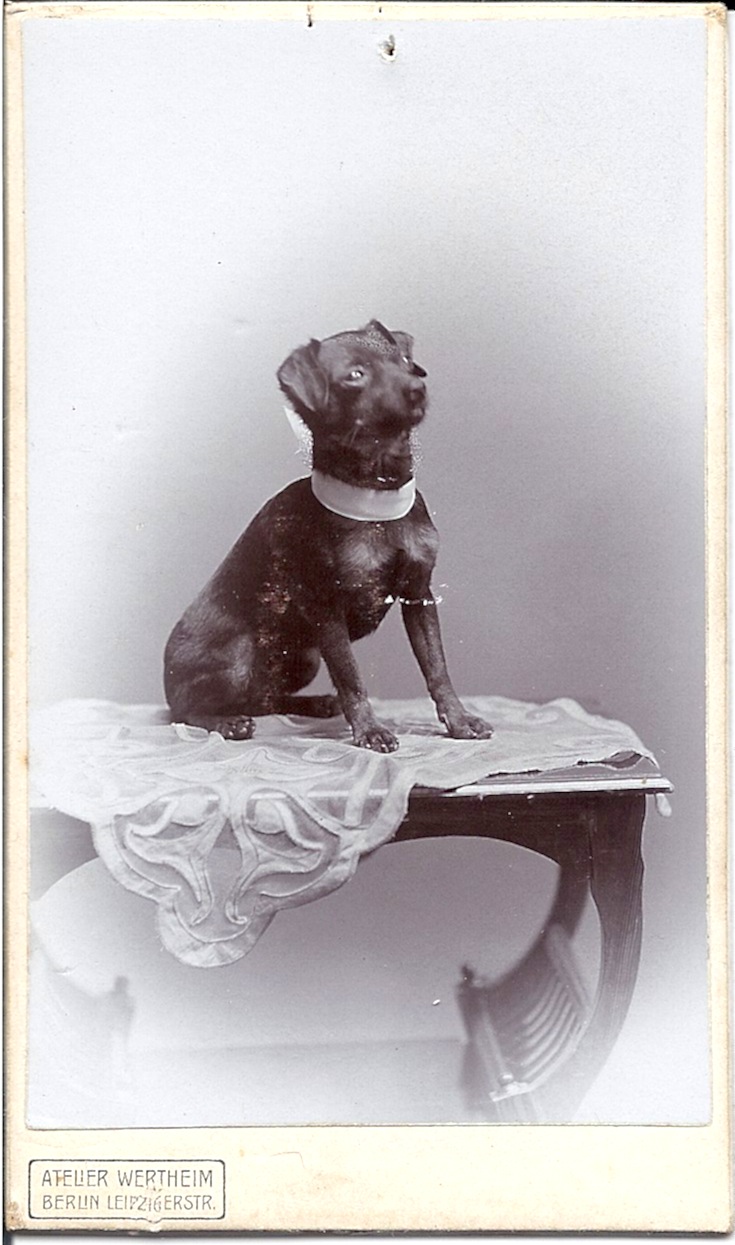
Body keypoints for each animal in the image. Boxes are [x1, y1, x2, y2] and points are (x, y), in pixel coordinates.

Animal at [164, 320, 493, 752]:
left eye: (404, 362)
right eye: (355, 375)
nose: (416, 388)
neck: (376, 493)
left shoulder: (419, 595)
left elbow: (437, 668)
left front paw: (458, 720)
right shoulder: (327, 609)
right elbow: (352, 677)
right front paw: (369, 730)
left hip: (304, 658)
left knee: (264, 699)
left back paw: (315, 703)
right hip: (241, 657)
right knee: (187, 712)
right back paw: (228, 722)